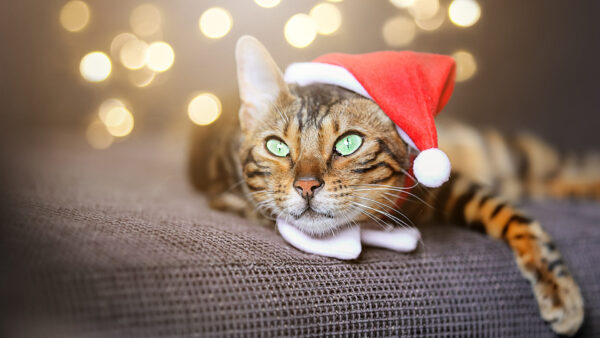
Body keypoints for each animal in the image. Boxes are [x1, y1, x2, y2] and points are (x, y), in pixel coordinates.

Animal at [189, 35, 600, 336]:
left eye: (348, 144)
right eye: (277, 146)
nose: (306, 185)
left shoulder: (438, 183)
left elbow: (506, 213)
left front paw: (558, 287)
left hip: (503, 153)